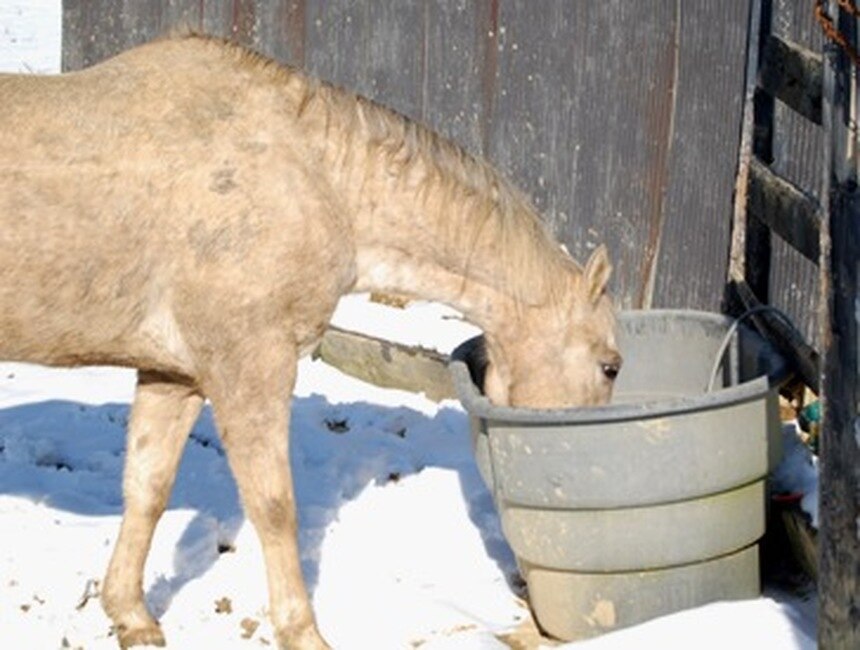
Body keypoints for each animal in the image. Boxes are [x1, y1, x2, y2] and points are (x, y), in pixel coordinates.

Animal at [0, 34, 620, 649]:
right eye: (611, 365)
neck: (317, 177)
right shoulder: (252, 367)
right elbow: (275, 508)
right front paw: (301, 632)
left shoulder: (174, 375)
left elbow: (146, 489)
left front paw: (131, 615)